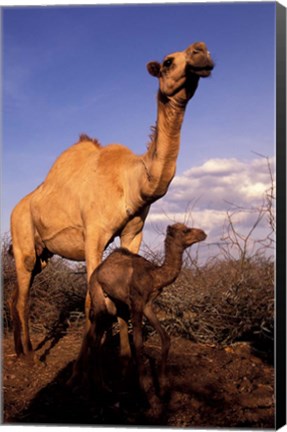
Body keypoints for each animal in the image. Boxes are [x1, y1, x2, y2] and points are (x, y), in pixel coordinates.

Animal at [83, 224, 207, 396]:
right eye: (185, 230)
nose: (203, 233)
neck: (154, 276)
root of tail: (95, 273)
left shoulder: (147, 304)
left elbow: (166, 338)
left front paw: (163, 385)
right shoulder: (136, 303)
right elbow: (138, 343)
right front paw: (144, 384)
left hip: (112, 304)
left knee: (97, 335)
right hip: (97, 293)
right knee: (94, 339)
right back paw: (101, 386)